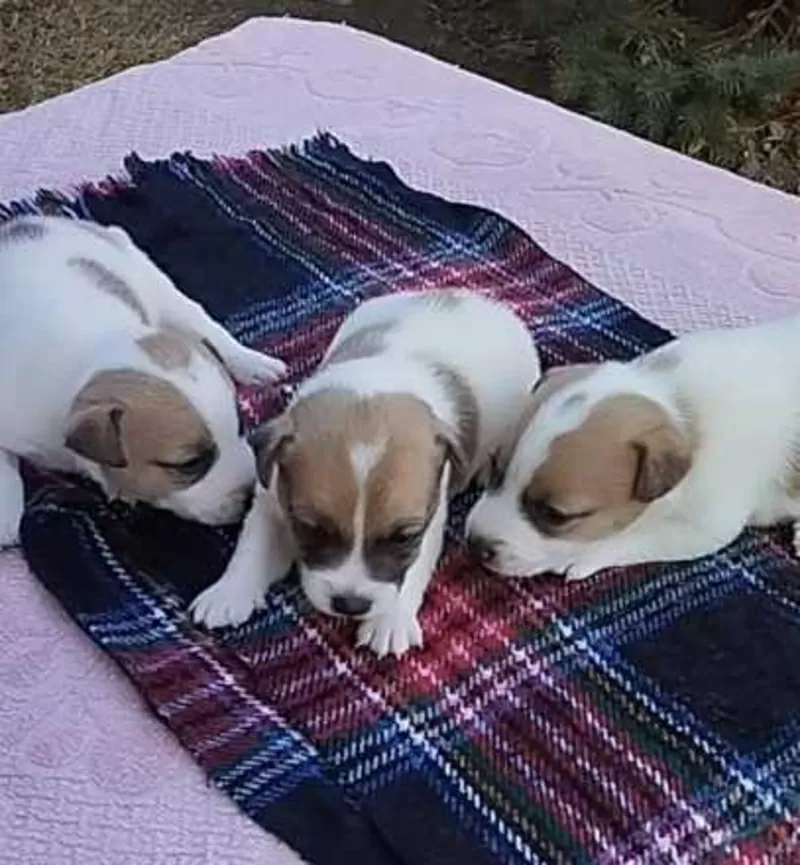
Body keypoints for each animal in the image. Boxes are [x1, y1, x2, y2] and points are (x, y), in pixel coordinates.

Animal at [0, 216, 286, 540]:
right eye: (188, 464)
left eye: (240, 426)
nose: (253, 497)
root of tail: (36, 220)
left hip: (157, 284)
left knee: (204, 324)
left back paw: (254, 363)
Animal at [193, 290, 540, 656]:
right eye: (311, 528)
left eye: (404, 537)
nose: (351, 605)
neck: (371, 390)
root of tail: (477, 299)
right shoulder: (271, 497)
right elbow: (253, 544)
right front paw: (229, 592)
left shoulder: (429, 521)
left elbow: (414, 567)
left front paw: (390, 621)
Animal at [466, 314, 800, 584]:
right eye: (495, 467)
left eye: (555, 515)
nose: (474, 543)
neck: (678, 408)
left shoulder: (704, 525)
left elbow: (638, 539)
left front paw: (582, 556)